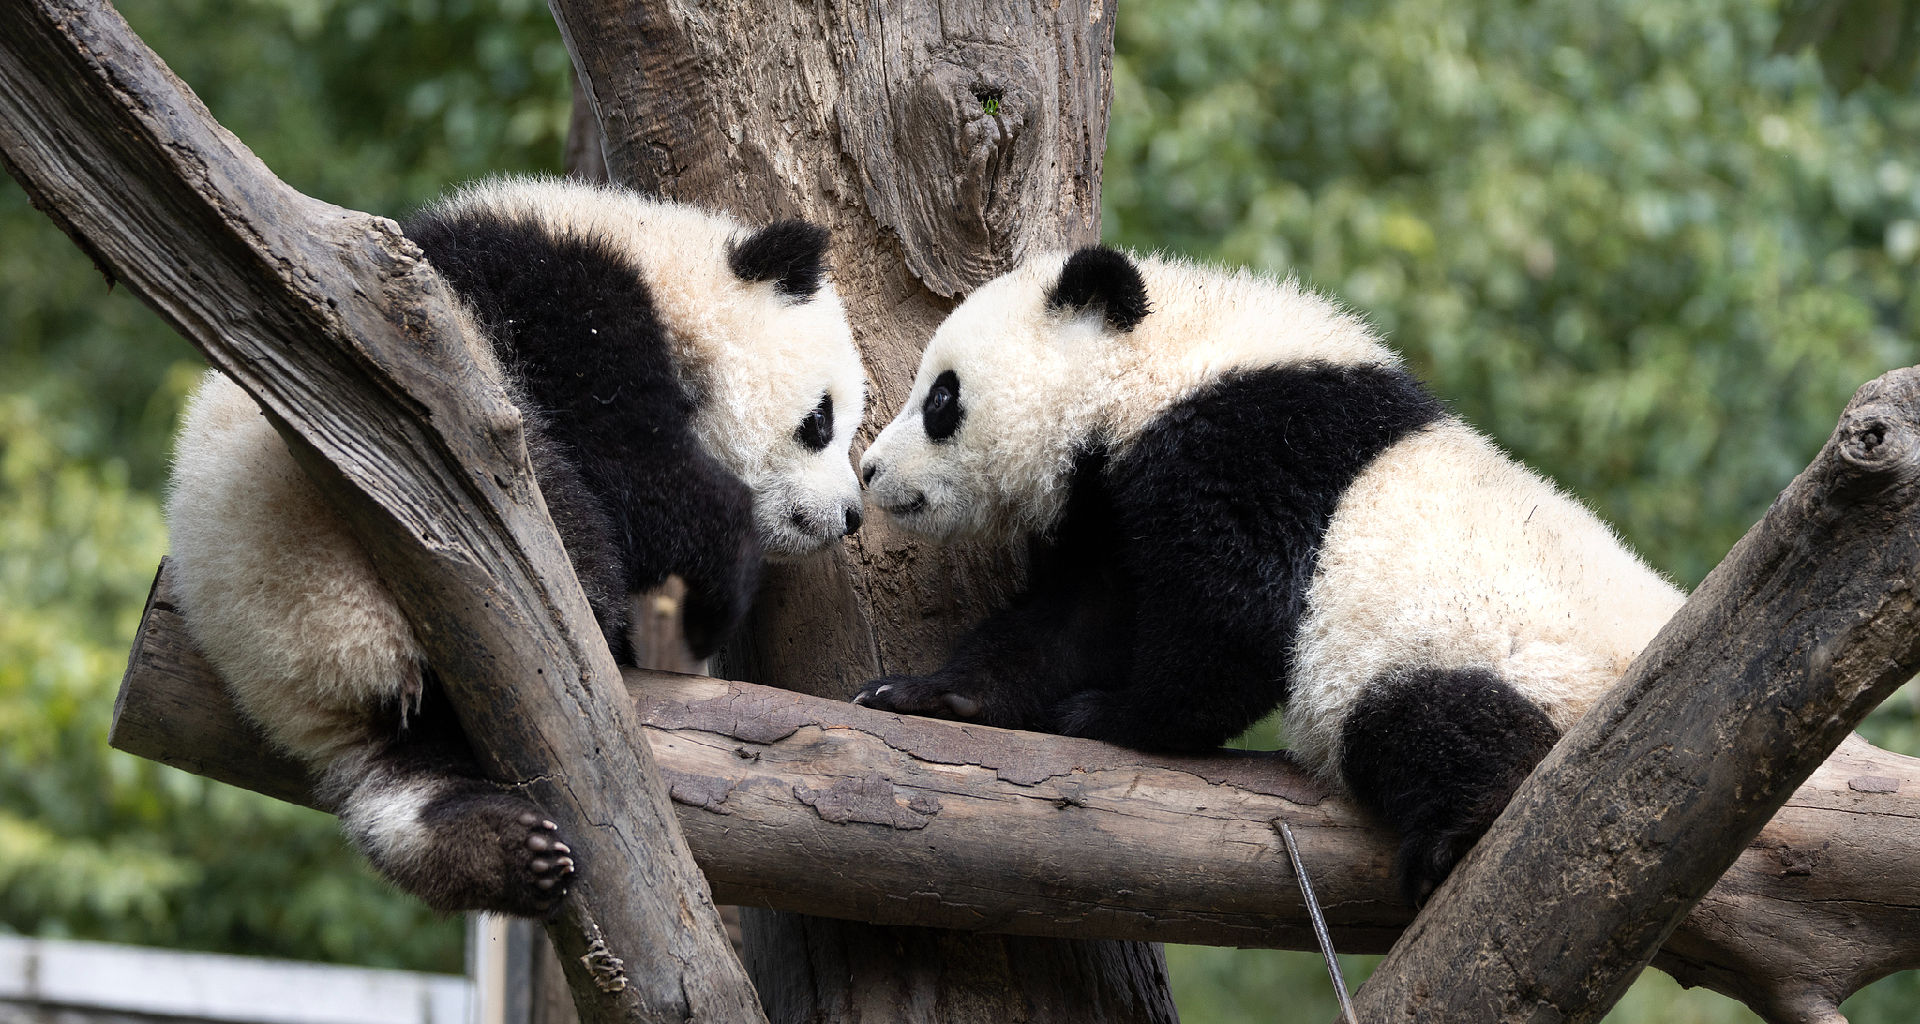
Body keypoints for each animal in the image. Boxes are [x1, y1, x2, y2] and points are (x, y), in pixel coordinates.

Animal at [166, 176, 867, 917]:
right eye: (820, 420)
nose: (850, 516)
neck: (659, 256)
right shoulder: (555, 301)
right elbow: (632, 468)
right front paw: (715, 600)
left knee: (400, 770)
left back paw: (492, 850)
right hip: (346, 529)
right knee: (556, 512)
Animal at [853, 246, 1685, 906]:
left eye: (942, 397)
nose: (868, 470)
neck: (1164, 360)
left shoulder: (1248, 445)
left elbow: (1232, 618)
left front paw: (1112, 715)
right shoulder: (1116, 504)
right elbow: (1077, 621)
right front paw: (925, 694)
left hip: (1518, 661)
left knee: (1434, 720)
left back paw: (1459, 829)